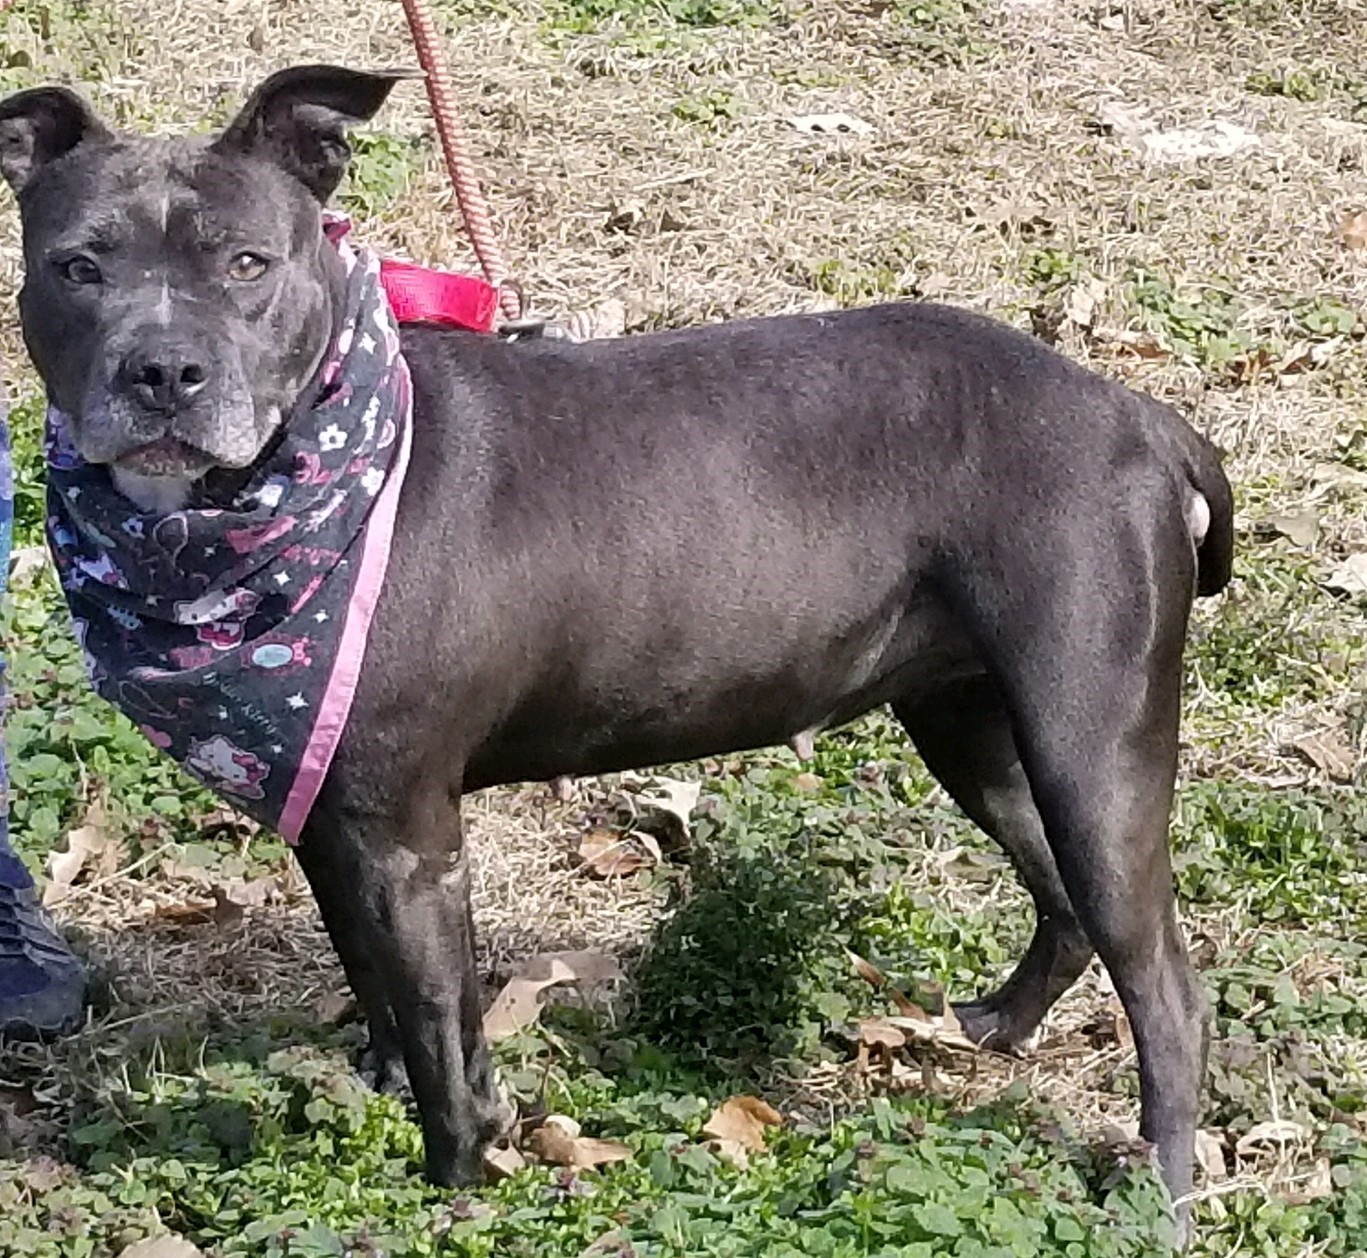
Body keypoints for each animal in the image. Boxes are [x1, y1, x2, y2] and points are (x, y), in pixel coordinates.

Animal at [0, 66, 1235, 1236]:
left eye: (248, 263)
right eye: (76, 267)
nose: (163, 372)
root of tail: (1134, 414)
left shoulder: (407, 840)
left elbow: (443, 1033)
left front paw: (454, 1184)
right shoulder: (332, 815)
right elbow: (383, 987)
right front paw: (386, 1090)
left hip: (1091, 746)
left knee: (1165, 985)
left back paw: (1158, 1195)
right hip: (971, 726)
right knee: (1063, 901)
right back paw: (1000, 1026)